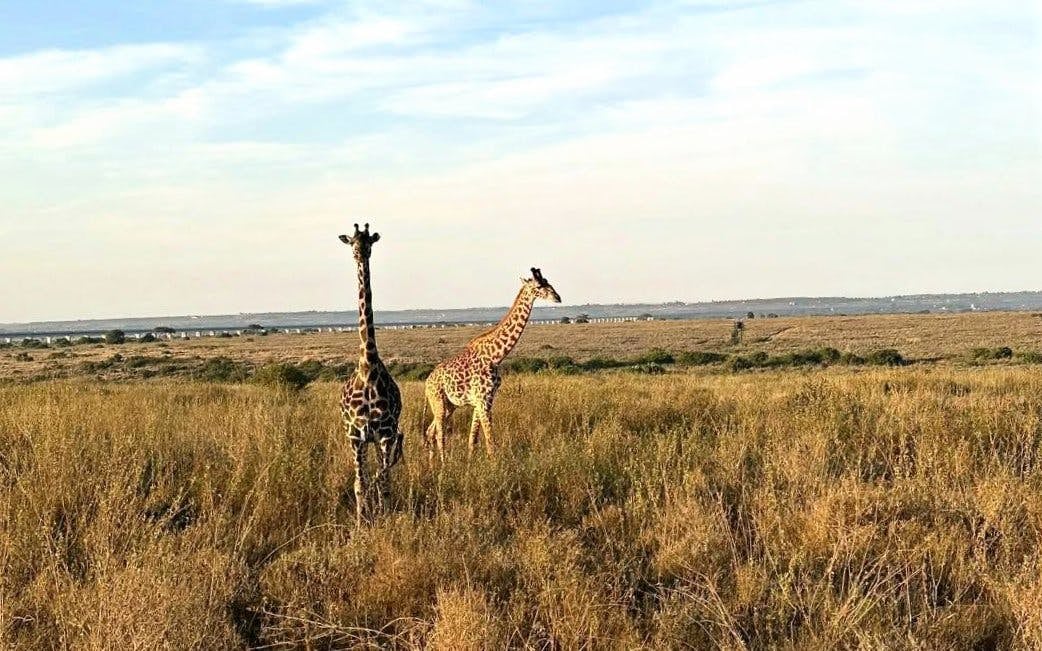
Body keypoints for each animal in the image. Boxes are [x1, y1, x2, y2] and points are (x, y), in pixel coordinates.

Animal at [423, 268, 561, 461]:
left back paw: (431, 464)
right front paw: (495, 466)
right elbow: (490, 441)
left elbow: (473, 439)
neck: (495, 356)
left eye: (548, 282)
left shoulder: (483, 400)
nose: (558, 297)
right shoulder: (483, 399)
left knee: (430, 431)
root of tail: (427, 382)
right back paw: (443, 464)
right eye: (538, 286)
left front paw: (470, 463)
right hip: (438, 401)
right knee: (439, 434)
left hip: (450, 405)